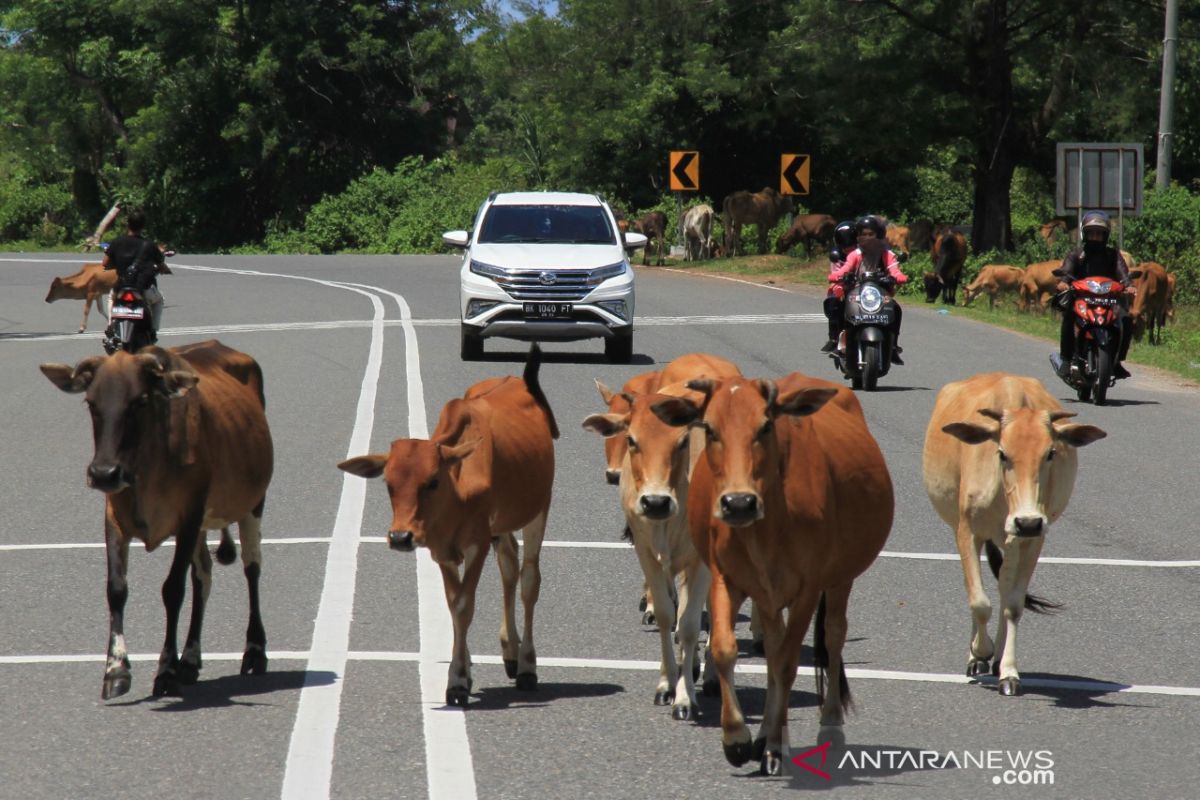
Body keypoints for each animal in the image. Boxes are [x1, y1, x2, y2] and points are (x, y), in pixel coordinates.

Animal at [40, 340, 274, 695]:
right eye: (91, 402)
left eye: (139, 401)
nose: (104, 473)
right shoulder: (114, 519)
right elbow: (116, 589)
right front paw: (116, 670)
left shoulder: (189, 516)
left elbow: (173, 590)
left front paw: (165, 670)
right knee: (203, 576)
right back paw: (190, 659)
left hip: (252, 504)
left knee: (252, 568)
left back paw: (254, 651)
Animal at [340, 345, 559, 705]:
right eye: (388, 483)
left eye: (432, 481)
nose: (400, 537)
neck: (457, 487)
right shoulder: (441, 551)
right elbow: (453, 605)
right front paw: (464, 673)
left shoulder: (477, 543)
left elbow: (464, 605)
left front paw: (456, 680)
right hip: (502, 525)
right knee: (509, 566)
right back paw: (510, 653)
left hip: (538, 509)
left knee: (528, 578)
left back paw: (527, 665)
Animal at [652, 374, 897, 777]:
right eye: (710, 428)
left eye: (765, 426)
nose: (738, 503)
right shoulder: (725, 578)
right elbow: (726, 650)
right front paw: (737, 738)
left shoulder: (809, 590)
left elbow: (786, 664)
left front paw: (775, 749)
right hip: (768, 596)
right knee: (774, 644)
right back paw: (766, 732)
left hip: (839, 579)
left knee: (832, 636)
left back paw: (828, 725)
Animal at [921, 374, 1108, 695]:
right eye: (1002, 453)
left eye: (1051, 453)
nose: (1028, 521)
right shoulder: (967, 532)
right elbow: (978, 602)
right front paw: (979, 651)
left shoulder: (1031, 540)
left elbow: (1013, 604)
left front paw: (1008, 671)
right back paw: (978, 657)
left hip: (1012, 542)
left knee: (1003, 587)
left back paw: (996, 659)